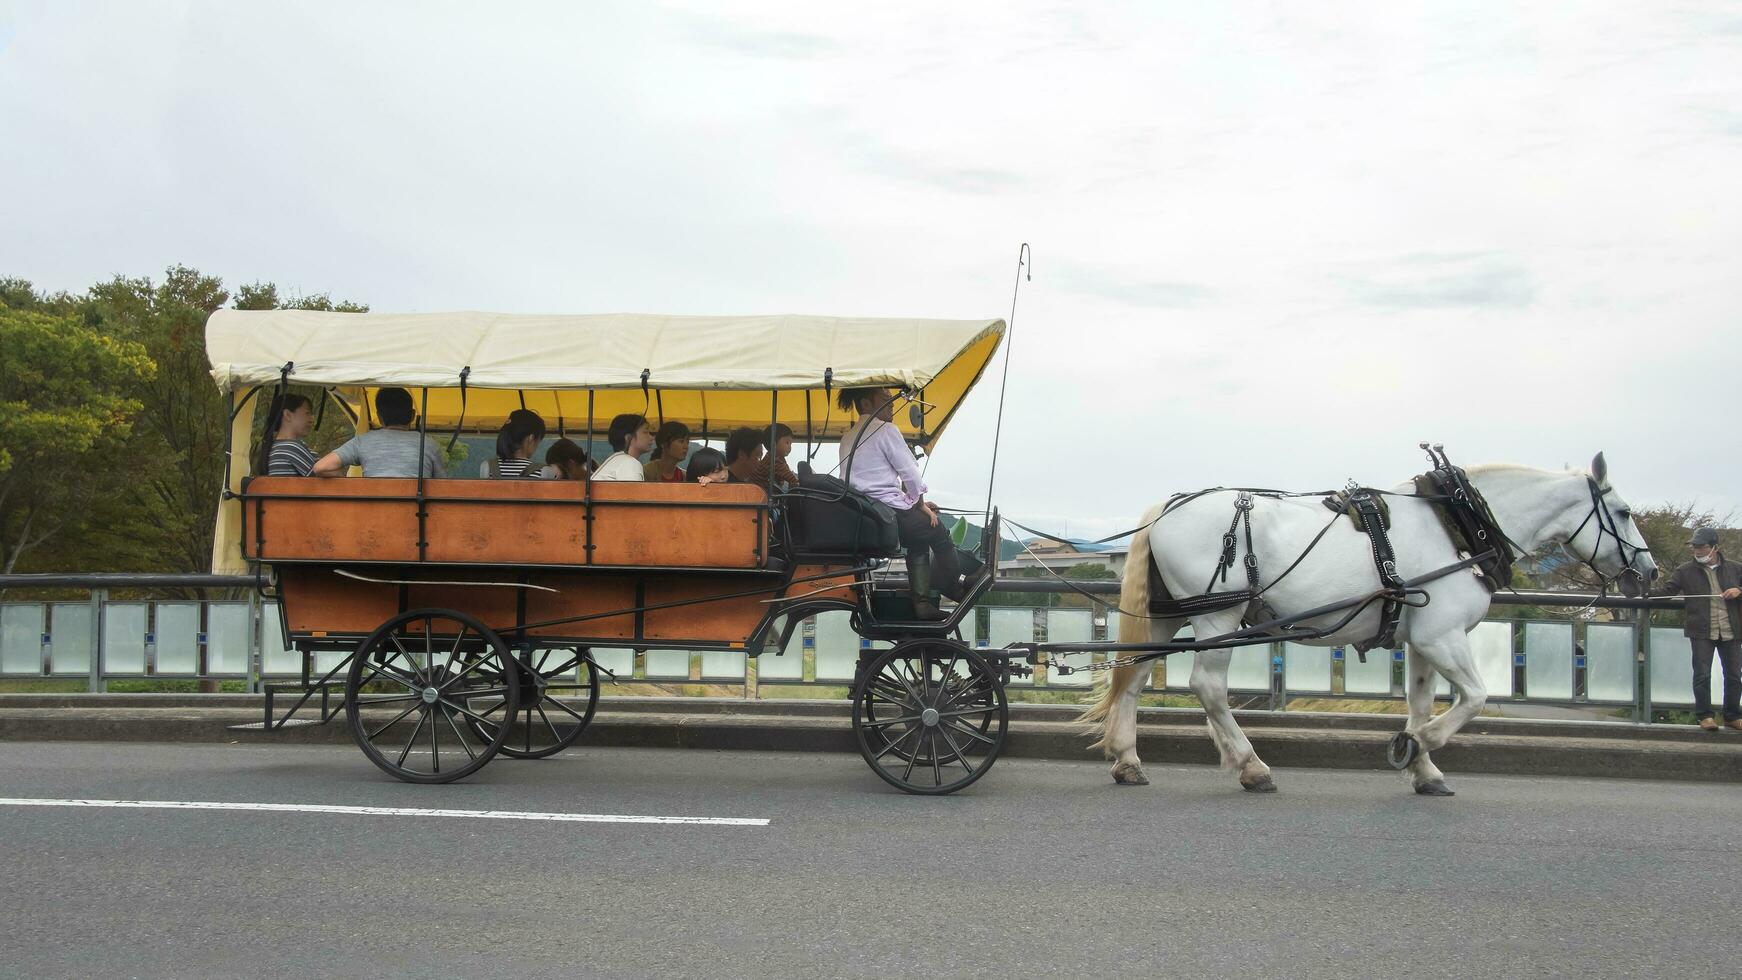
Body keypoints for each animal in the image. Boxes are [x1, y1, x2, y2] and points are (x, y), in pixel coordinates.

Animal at [1073, 452, 1658, 797]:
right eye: (1625, 513)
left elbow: (1420, 701)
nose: (1649, 573)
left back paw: (1128, 760)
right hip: (1220, 611)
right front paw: (1416, 745)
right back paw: (1251, 765)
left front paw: (1425, 768)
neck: (1460, 526)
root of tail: (1167, 507)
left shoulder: (1421, 640)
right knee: (1208, 686)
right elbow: (1473, 699)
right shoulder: (1443, 635)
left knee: (1134, 677)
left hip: (1166, 616)